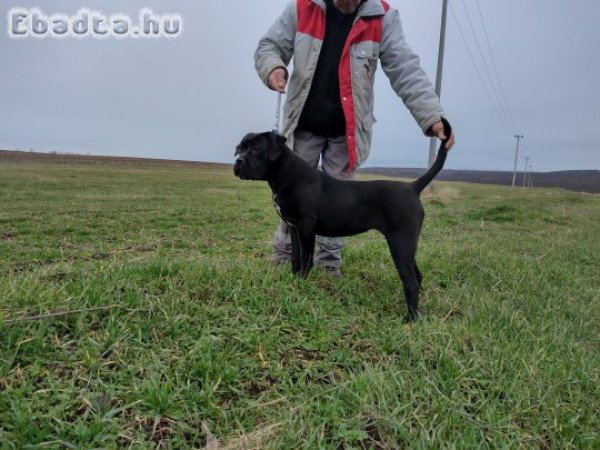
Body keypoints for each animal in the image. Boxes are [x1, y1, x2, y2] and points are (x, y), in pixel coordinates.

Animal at [234, 118, 450, 324]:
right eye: (240, 147)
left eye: (257, 148)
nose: (238, 162)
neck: (285, 174)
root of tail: (413, 187)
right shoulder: (293, 227)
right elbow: (295, 258)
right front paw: (293, 280)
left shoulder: (306, 227)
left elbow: (306, 259)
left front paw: (301, 282)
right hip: (407, 245)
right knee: (417, 276)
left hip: (400, 242)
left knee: (411, 282)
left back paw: (410, 319)